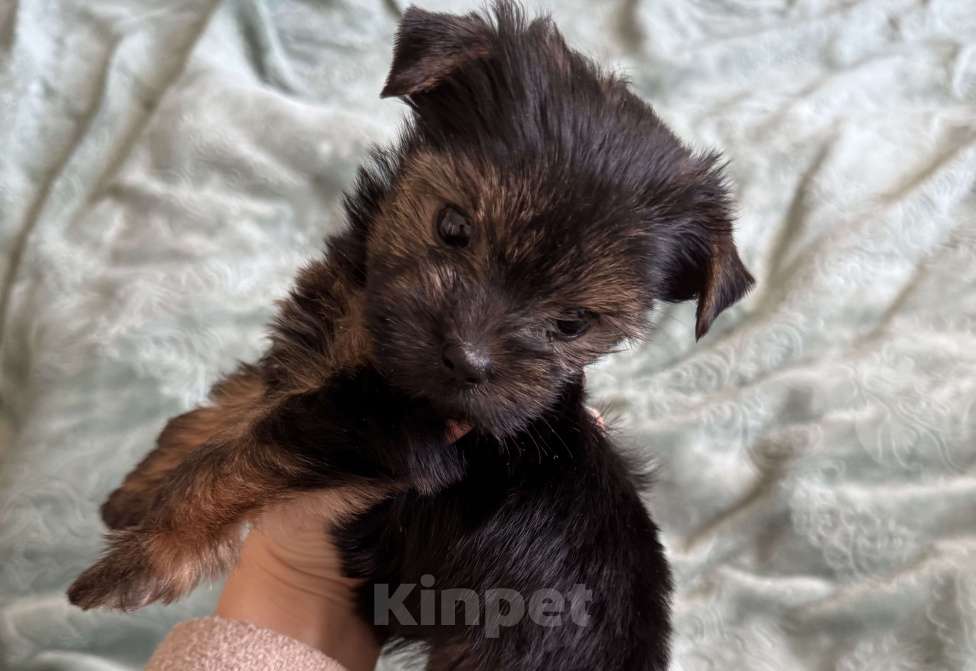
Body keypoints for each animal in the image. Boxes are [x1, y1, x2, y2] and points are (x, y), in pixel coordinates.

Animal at [68, 3, 754, 669]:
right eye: (452, 226)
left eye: (572, 325)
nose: (468, 360)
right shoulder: (322, 362)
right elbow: (243, 402)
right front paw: (143, 484)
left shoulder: (380, 429)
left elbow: (251, 450)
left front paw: (144, 554)